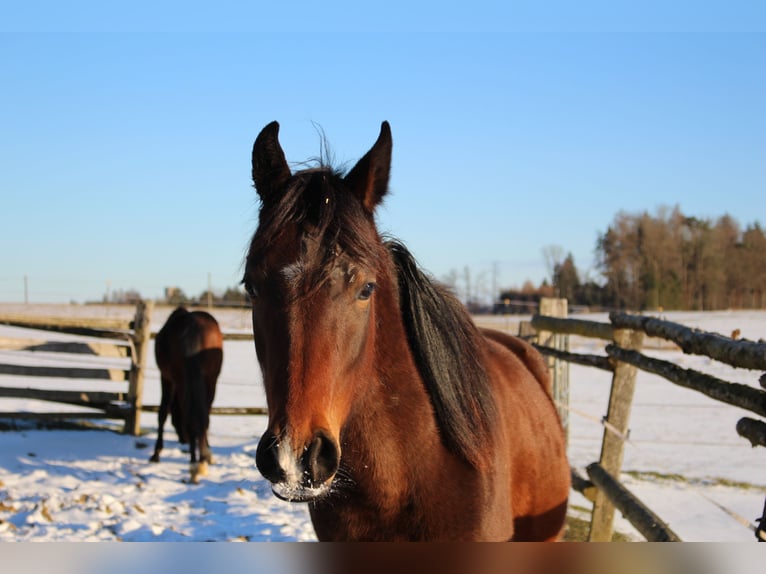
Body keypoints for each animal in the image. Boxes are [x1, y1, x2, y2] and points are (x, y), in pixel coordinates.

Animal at [149, 307, 223, 484]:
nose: (183, 439)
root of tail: (193, 326)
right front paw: (207, 453)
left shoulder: (167, 378)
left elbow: (162, 413)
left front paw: (156, 453)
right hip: (211, 380)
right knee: (203, 416)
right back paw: (201, 460)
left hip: (181, 381)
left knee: (191, 418)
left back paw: (194, 465)